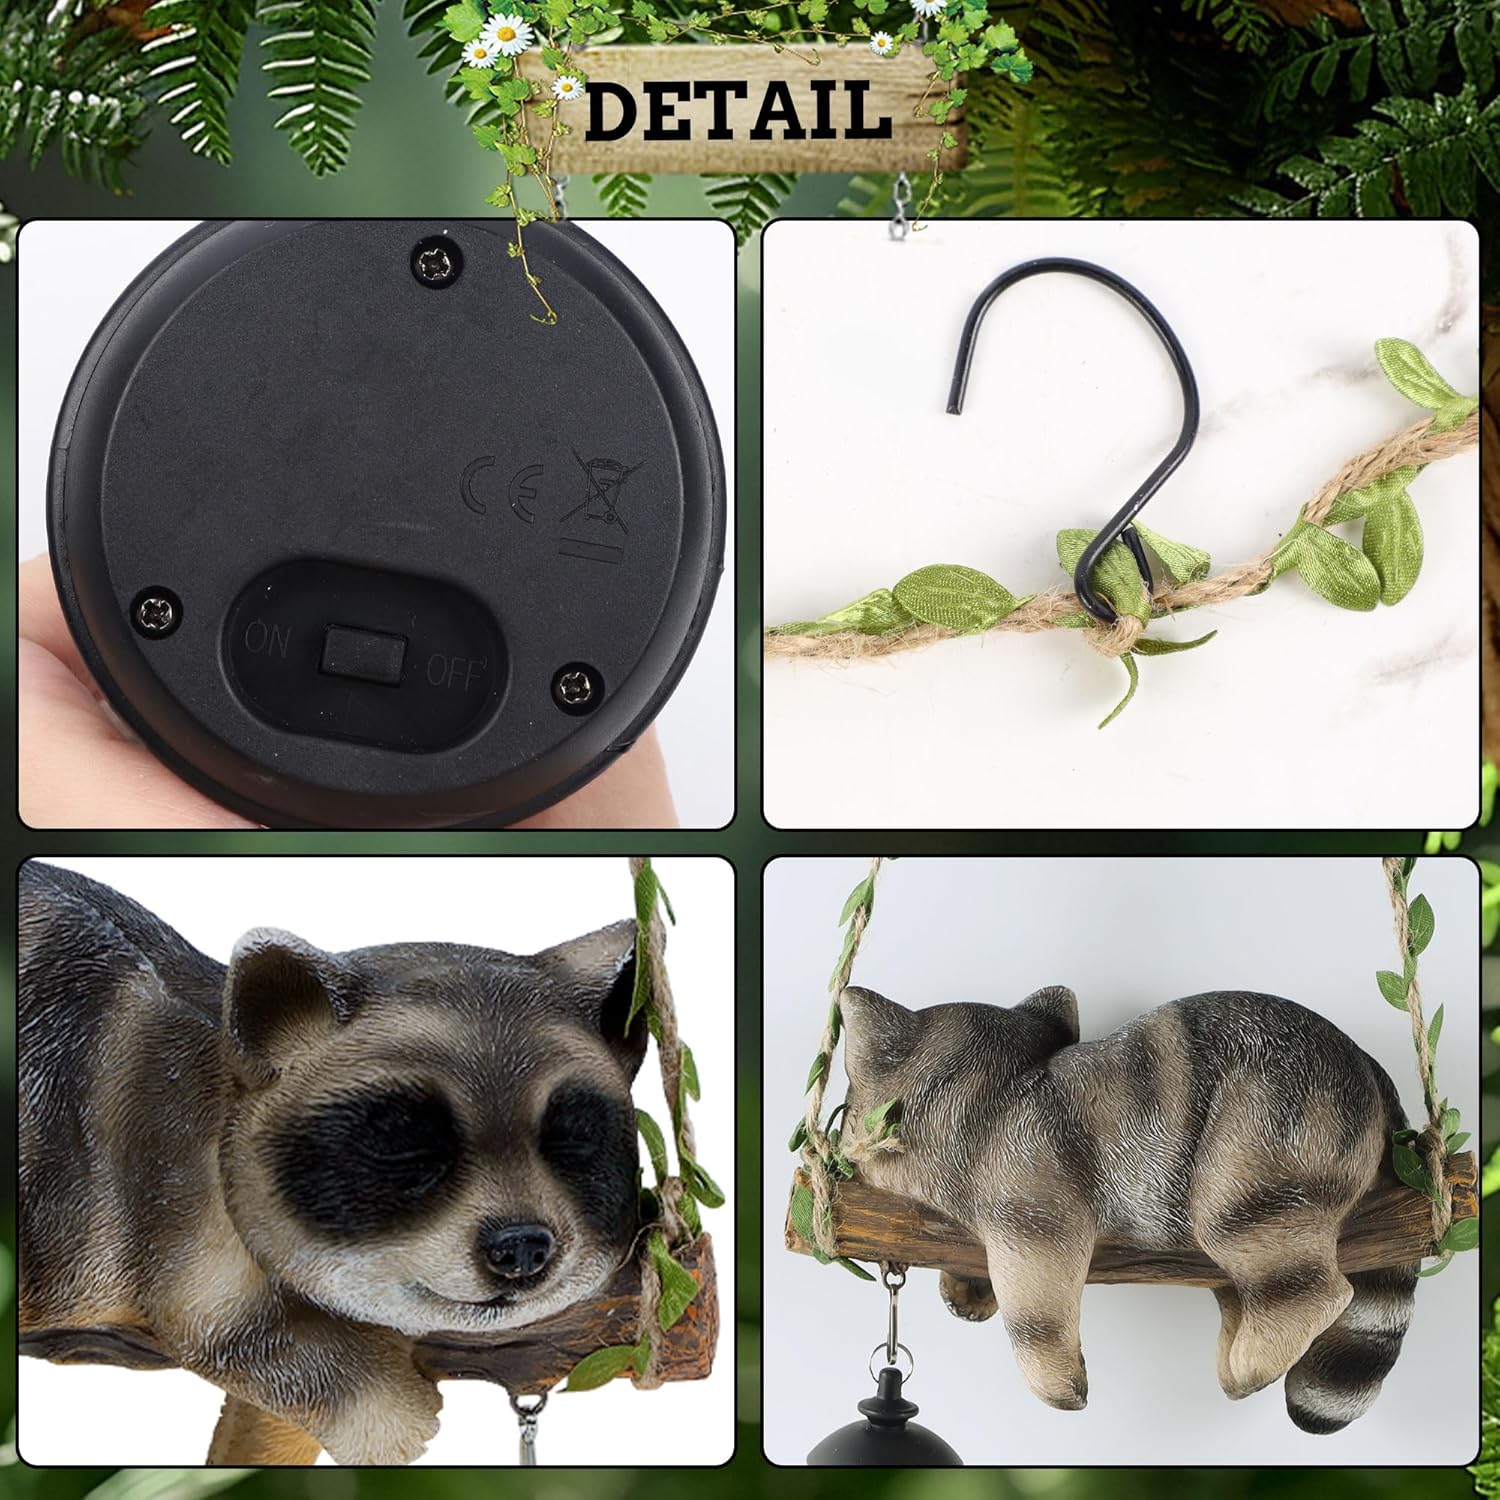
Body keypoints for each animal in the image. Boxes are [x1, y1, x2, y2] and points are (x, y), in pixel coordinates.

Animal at [19, 862, 649, 1465]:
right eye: (401, 1142)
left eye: (573, 1138)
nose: (521, 1247)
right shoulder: (160, 1171)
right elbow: (220, 1324)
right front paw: (383, 1411)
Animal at [839, 984, 1416, 1434]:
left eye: (844, 1105)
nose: (841, 1147)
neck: (1000, 1087)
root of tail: (1369, 1065)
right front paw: (965, 1287)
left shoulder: (1037, 1208)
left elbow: (1035, 1305)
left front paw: (1055, 1378)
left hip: (1255, 1163)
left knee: (1315, 1289)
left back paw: (1255, 1358)